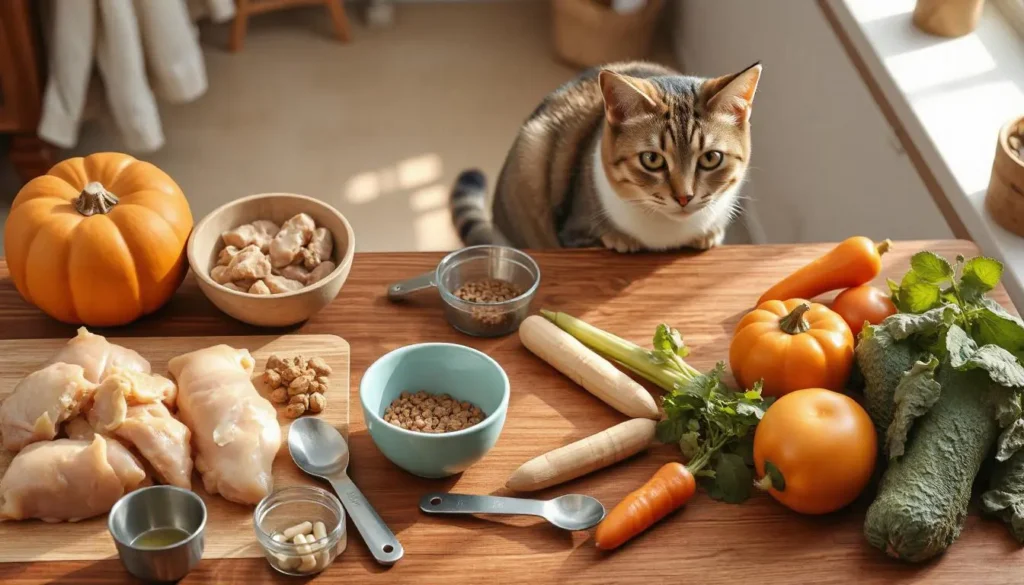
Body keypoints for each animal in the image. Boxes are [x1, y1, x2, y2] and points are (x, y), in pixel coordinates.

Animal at [450, 61, 761, 252]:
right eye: (652, 160)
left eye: (711, 158)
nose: (684, 197)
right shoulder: (572, 231)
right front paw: (619, 239)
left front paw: (708, 236)